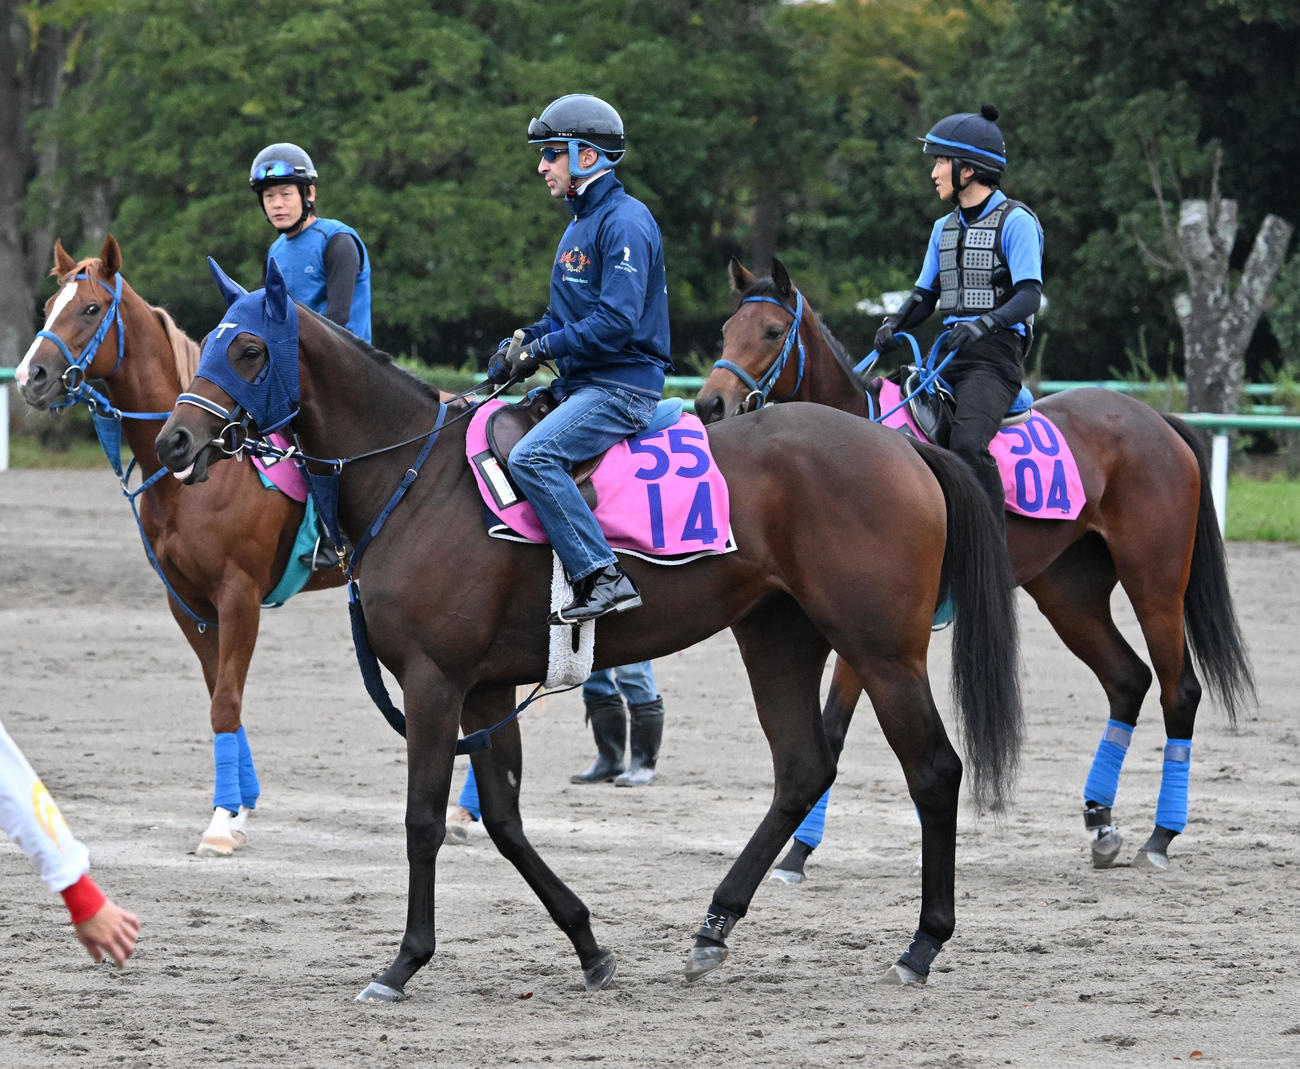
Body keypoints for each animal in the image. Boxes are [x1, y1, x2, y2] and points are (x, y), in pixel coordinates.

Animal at [14, 235, 348, 857]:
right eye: (48, 306)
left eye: (91, 308)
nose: (30, 376)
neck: (202, 473)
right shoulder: (188, 603)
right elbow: (220, 695)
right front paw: (238, 810)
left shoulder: (238, 597)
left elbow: (226, 702)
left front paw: (220, 824)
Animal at [151, 257, 1022, 999]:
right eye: (213, 340)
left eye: (250, 348)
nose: (174, 439)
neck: (417, 478)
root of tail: (899, 448)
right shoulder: (484, 688)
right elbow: (503, 820)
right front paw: (588, 943)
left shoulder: (435, 682)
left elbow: (424, 819)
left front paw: (402, 962)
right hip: (777, 636)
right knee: (803, 770)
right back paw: (714, 926)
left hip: (882, 648)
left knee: (934, 770)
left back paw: (922, 942)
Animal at [695, 257, 1255, 877]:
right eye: (726, 332)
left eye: (772, 332)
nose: (710, 405)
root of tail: (1154, 419)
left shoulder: (876, 632)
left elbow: (835, 729)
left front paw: (797, 850)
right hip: (1069, 593)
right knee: (1127, 679)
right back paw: (1101, 821)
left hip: (1155, 582)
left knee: (1179, 690)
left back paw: (1160, 834)